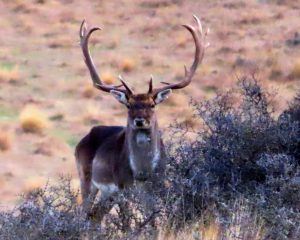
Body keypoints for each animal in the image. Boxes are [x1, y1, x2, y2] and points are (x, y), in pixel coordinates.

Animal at [74, 15, 209, 221]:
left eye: (152, 105)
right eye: (129, 105)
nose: (139, 120)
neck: (142, 173)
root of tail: (83, 139)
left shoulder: (157, 187)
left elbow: (152, 221)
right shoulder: (122, 187)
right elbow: (128, 222)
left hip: (107, 194)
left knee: (95, 217)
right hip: (86, 177)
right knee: (84, 213)